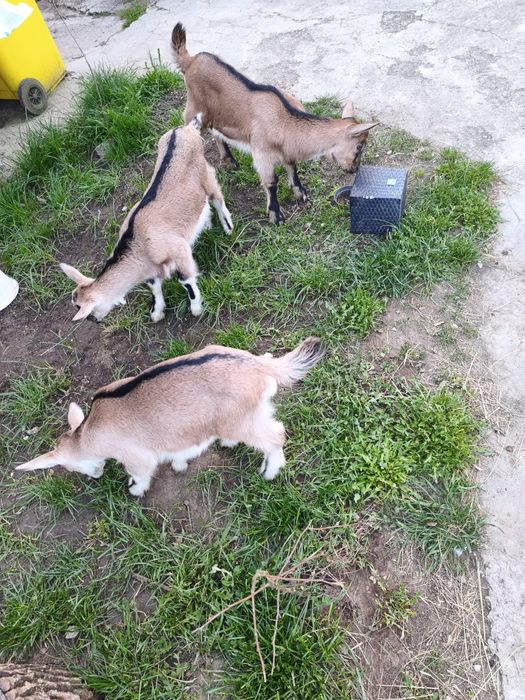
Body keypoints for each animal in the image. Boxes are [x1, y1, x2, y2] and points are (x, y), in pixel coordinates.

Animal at [14, 338, 325, 497]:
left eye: (70, 467)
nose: (95, 475)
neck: (88, 433)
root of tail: (259, 366)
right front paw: (179, 463)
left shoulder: (137, 457)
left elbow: (141, 473)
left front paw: (135, 490)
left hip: (240, 421)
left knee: (276, 436)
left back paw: (270, 472)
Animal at [60, 117, 233, 323]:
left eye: (87, 314)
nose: (96, 321)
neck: (141, 243)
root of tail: (185, 129)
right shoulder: (151, 269)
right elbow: (154, 285)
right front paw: (157, 312)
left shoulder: (179, 251)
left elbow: (186, 281)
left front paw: (196, 308)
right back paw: (205, 225)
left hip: (205, 174)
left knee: (216, 197)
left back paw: (228, 227)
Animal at [171, 23, 378, 225]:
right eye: (360, 146)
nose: (354, 169)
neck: (286, 122)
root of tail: (189, 60)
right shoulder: (262, 153)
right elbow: (271, 181)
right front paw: (276, 216)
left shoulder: (288, 150)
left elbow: (292, 166)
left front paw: (300, 193)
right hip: (194, 107)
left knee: (217, 131)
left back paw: (230, 160)